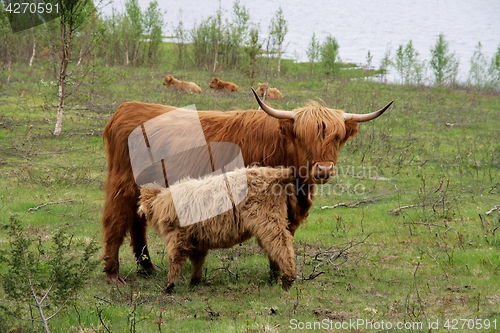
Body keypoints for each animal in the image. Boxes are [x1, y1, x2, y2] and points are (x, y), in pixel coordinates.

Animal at [137, 167, 308, 292]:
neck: (161, 203)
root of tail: (277, 173)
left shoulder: (178, 238)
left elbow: (175, 261)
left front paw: (168, 286)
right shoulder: (198, 241)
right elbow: (197, 261)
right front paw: (194, 281)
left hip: (268, 223)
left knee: (282, 246)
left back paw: (287, 280)